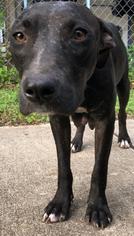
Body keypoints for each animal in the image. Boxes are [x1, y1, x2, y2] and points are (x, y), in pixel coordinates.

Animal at [9, 1, 131, 229]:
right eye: (19, 35)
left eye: (79, 34)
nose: (38, 89)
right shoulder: (58, 119)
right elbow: (63, 165)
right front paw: (59, 203)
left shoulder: (104, 119)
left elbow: (99, 168)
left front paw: (98, 208)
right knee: (81, 123)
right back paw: (76, 141)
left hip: (125, 86)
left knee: (122, 113)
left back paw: (125, 138)